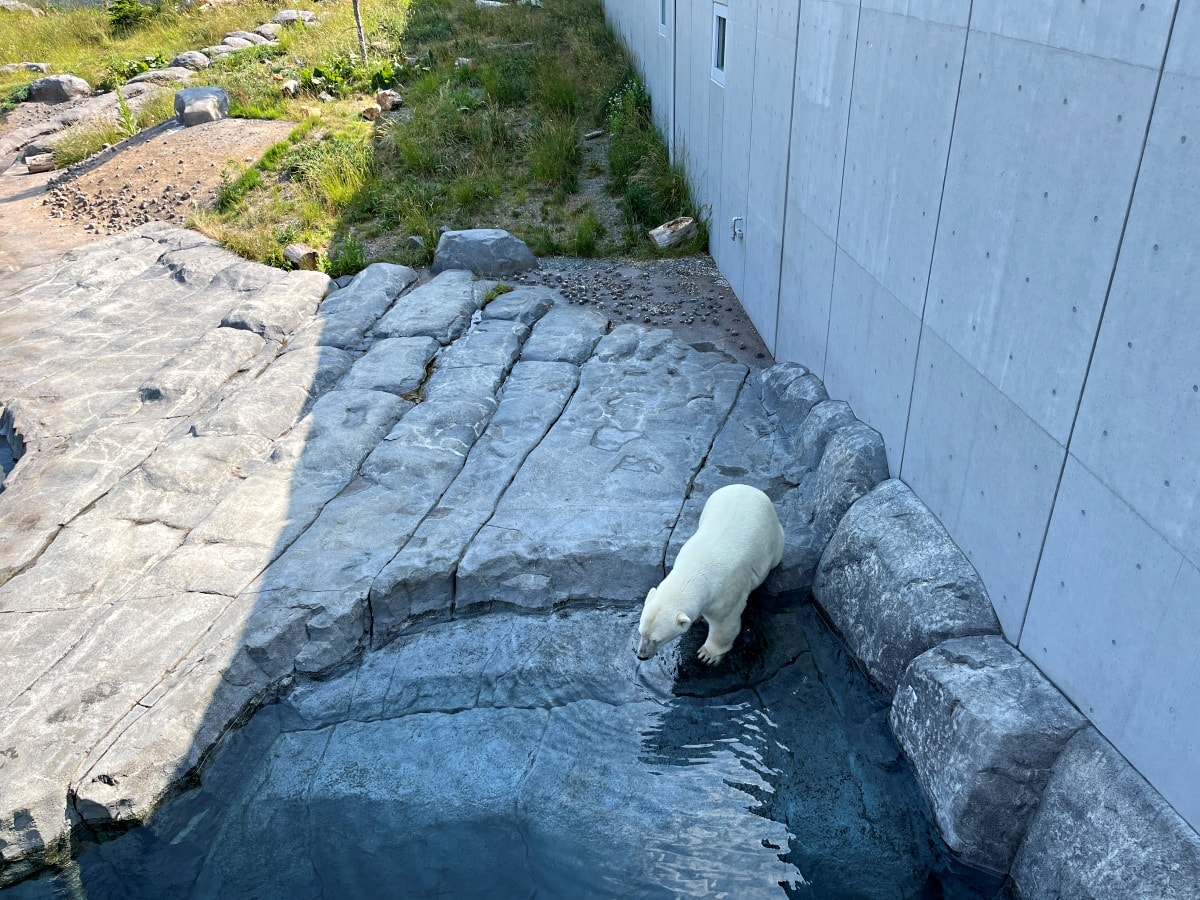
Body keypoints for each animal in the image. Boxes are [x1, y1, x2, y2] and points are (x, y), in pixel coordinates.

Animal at [636, 483, 784, 665]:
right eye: (641, 632)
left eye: (657, 639)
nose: (641, 656)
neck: (693, 571)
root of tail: (749, 487)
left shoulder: (727, 594)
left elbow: (725, 625)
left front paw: (707, 655)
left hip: (773, 539)